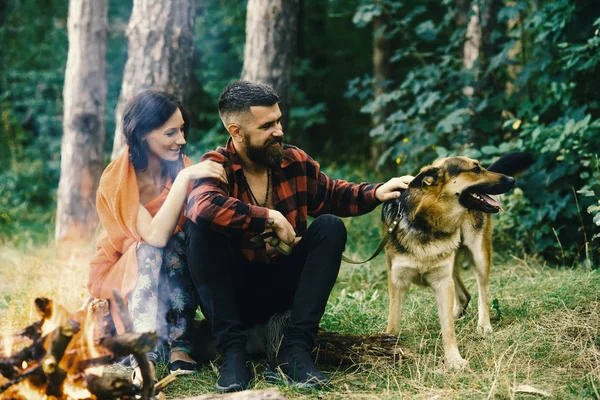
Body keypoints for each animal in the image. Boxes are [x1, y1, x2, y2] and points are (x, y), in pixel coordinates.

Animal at [382, 152, 532, 368]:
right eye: (475, 169)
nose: (512, 180)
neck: (428, 222)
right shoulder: (398, 281)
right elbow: (393, 322)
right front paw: (388, 350)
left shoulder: (442, 281)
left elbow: (448, 329)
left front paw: (454, 360)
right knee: (465, 295)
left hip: (479, 256)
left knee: (482, 294)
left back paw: (484, 325)